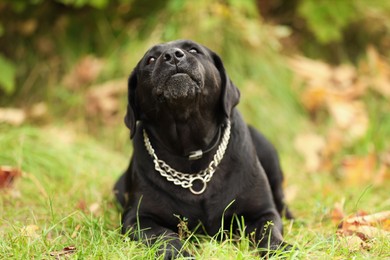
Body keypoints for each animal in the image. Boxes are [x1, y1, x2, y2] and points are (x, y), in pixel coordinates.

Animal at [114, 39, 294, 258]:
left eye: (193, 49)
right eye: (150, 59)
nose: (172, 56)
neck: (192, 153)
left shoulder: (263, 212)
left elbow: (268, 232)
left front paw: (282, 249)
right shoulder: (138, 218)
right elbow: (164, 236)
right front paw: (179, 253)